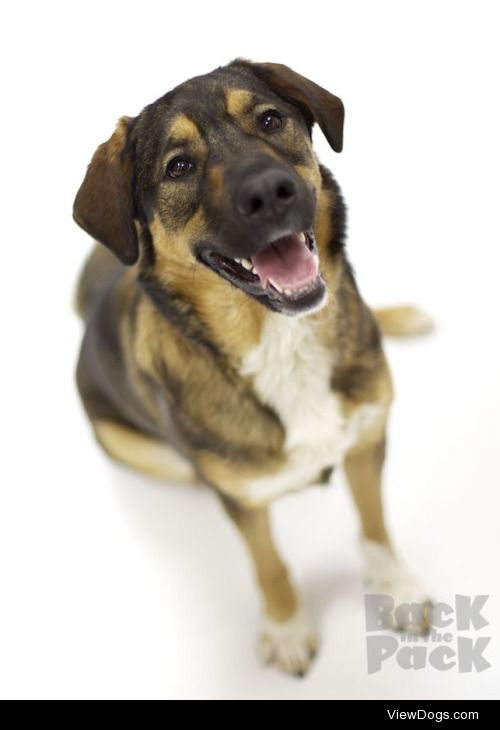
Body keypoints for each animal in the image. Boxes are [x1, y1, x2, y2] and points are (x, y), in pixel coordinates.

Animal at [72, 59, 432, 672]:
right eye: (179, 166)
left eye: (269, 119)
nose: (269, 191)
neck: (278, 340)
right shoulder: (242, 500)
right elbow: (268, 563)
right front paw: (286, 626)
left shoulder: (366, 440)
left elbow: (375, 523)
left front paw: (396, 589)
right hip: (137, 448)